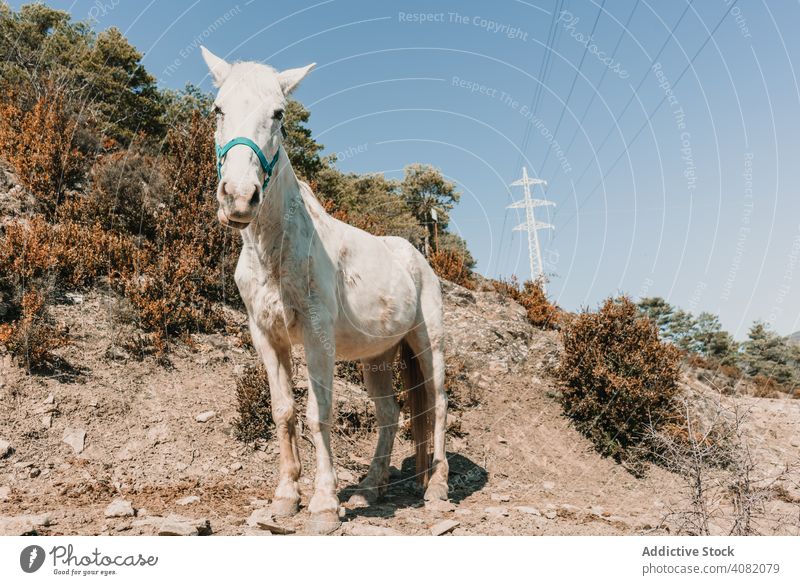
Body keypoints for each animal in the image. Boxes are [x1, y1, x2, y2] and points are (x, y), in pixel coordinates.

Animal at [200, 46, 450, 528]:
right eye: (218, 109)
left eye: (278, 113)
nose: (239, 197)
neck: (276, 250)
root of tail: (418, 259)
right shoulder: (267, 337)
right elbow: (283, 411)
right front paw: (285, 496)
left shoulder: (317, 336)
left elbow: (319, 414)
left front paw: (323, 504)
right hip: (378, 356)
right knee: (390, 414)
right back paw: (371, 488)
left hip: (427, 343)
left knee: (437, 403)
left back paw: (438, 488)